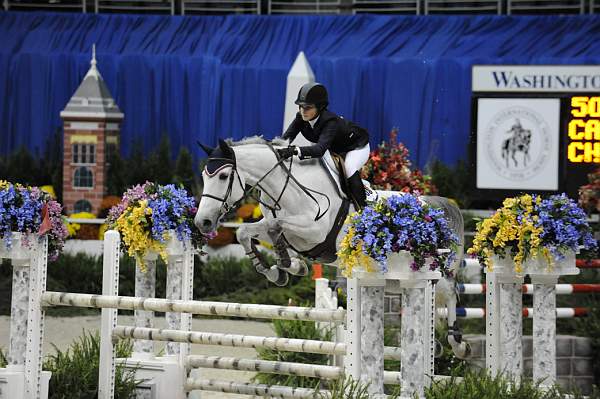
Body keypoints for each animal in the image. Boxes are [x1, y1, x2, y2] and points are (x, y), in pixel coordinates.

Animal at [195, 138, 472, 360]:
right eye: (204, 177)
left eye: (222, 176)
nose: (202, 222)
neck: (286, 189)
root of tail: (434, 208)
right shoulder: (283, 229)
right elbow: (246, 232)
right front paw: (283, 269)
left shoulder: (313, 230)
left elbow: (276, 226)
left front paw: (286, 264)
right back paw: (435, 344)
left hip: (431, 268)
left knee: (449, 293)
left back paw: (457, 344)